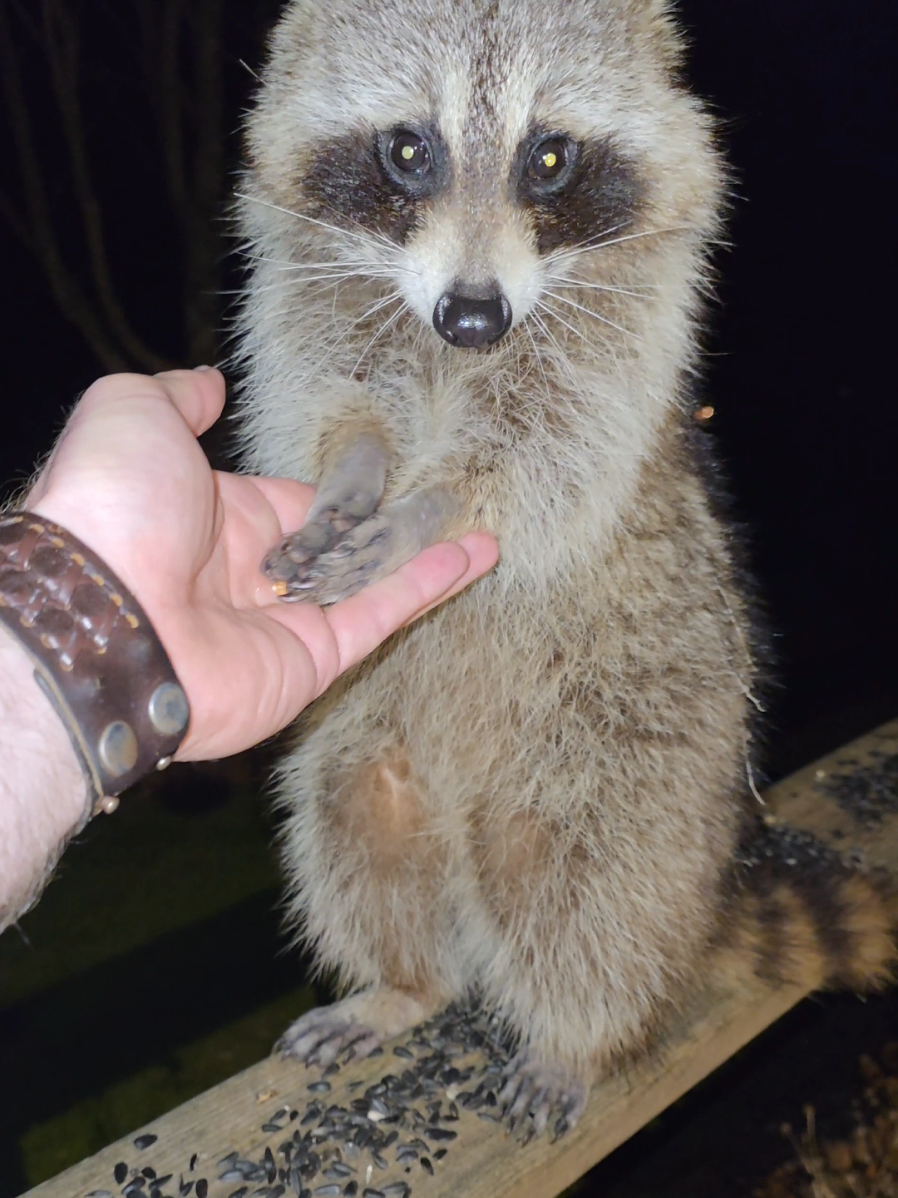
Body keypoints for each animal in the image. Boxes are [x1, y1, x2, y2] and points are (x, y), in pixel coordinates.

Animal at [234, 0, 896, 1137]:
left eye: (549, 158)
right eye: (409, 149)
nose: (474, 316)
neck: (451, 349)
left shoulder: (621, 338)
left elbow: (544, 459)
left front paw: (424, 512)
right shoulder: (313, 288)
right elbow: (334, 396)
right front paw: (353, 477)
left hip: (636, 743)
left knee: (585, 884)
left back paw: (575, 1038)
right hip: (370, 739)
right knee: (351, 822)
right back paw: (405, 983)